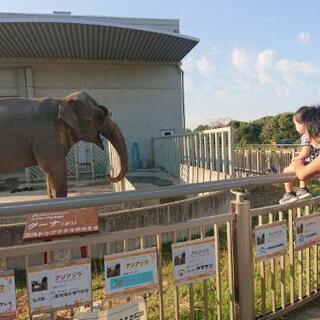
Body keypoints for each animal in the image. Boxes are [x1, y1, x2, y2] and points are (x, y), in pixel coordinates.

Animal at [0, 91, 129, 198]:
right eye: (89, 120)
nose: (108, 175)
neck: (62, 101)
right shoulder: (46, 135)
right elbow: (57, 168)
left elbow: (49, 173)